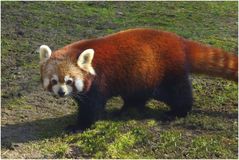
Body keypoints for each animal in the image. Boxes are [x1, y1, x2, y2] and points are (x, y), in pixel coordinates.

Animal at [38, 28, 237, 131]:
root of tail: (180, 42)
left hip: (165, 73)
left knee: (177, 93)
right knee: (136, 95)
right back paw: (126, 109)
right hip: (139, 77)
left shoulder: (98, 83)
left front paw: (79, 125)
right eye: (54, 81)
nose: (61, 92)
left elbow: (92, 109)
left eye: (69, 81)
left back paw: (177, 112)